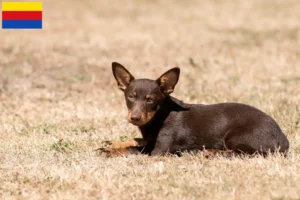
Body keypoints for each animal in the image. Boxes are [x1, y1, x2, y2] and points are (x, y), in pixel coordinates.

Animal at [99, 61, 290, 157]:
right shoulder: (148, 140)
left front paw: (109, 151)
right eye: (130, 97)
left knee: (242, 153)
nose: (135, 118)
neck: (158, 117)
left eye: (150, 100)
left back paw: (209, 153)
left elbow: (133, 149)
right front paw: (111, 144)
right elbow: (134, 140)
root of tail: (284, 139)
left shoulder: (159, 151)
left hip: (236, 137)